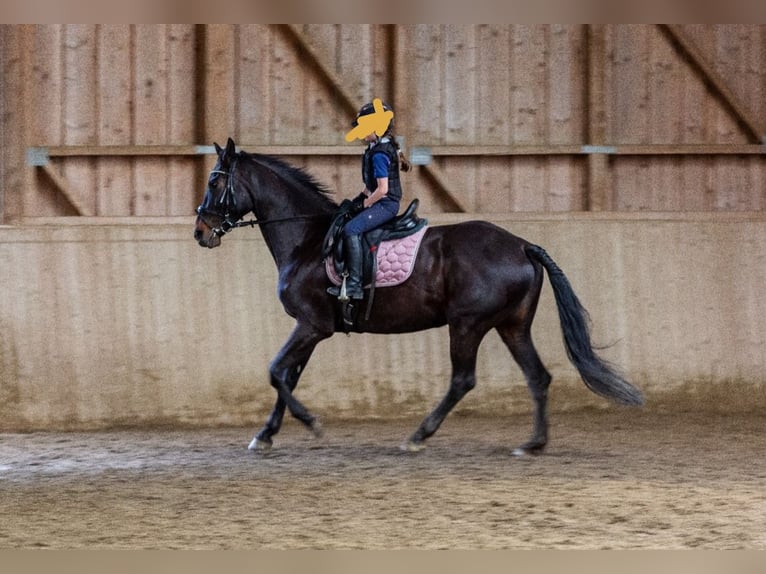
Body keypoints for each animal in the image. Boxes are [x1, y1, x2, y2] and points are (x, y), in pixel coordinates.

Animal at [195, 138, 644, 454]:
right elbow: (287, 376)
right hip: (512, 326)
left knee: (463, 379)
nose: (201, 232)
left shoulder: (311, 325)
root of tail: (521, 245)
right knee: (538, 376)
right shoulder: (313, 328)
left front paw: (311, 423)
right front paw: (266, 435)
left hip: (467, 325)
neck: (306, 240)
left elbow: (275, 371)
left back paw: (418, 436)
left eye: (215, 180)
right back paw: (533, 444)